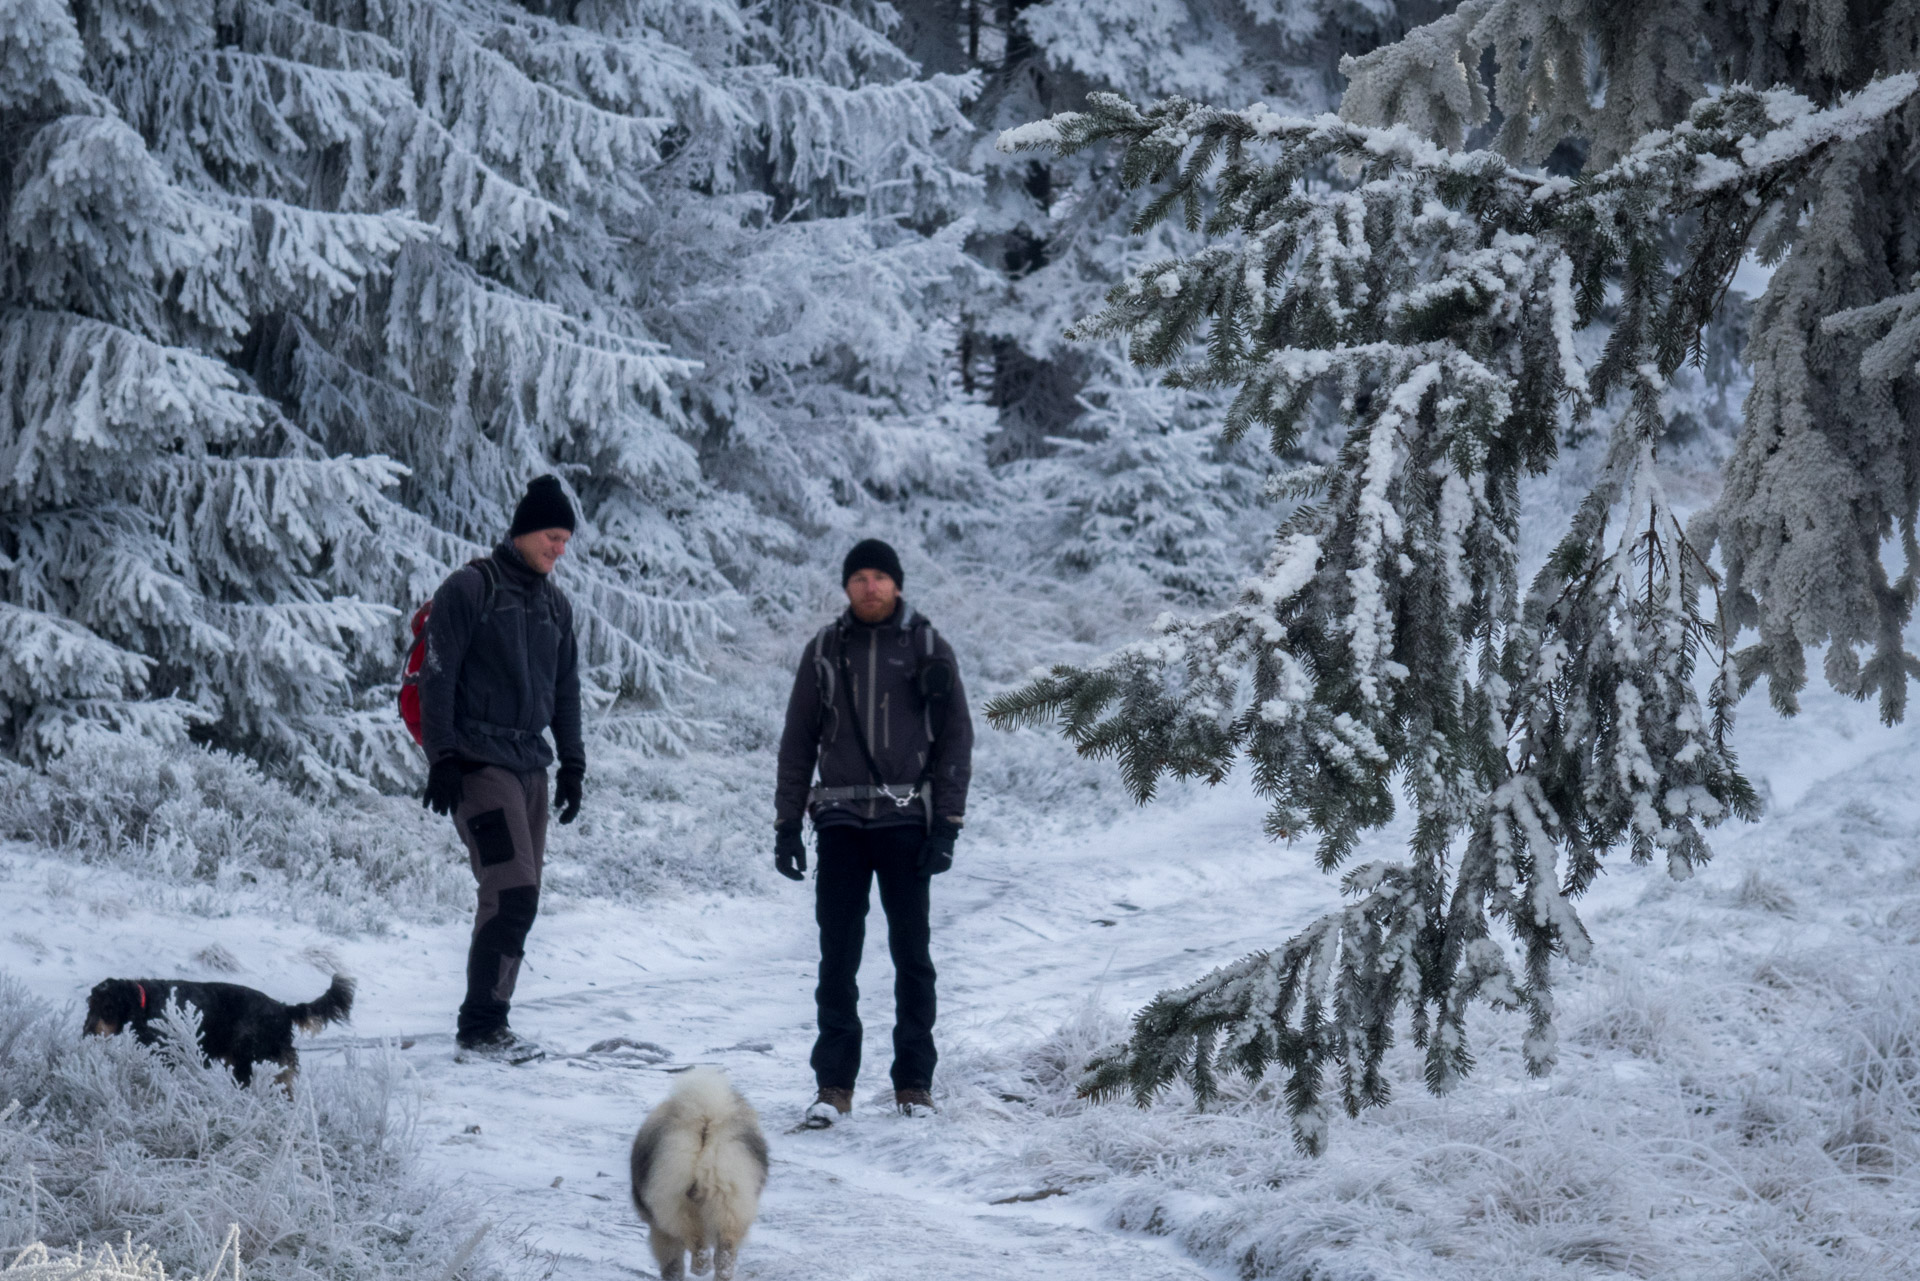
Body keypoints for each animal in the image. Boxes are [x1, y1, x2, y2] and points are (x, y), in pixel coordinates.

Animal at [83, 975, 357, 1090]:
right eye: (90, 1005)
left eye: (108, 1008)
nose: (86, 1032)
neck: (146, 1002)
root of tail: (284, 1009)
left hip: (251, 1059)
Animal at [629, 1067, 764, 1275]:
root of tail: (705, 1119)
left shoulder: (660, 1230)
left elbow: (672, 1266)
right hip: (730, 1200)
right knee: (725, 1255)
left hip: (674, 1205)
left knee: (698, 1248)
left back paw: (699, 1268)